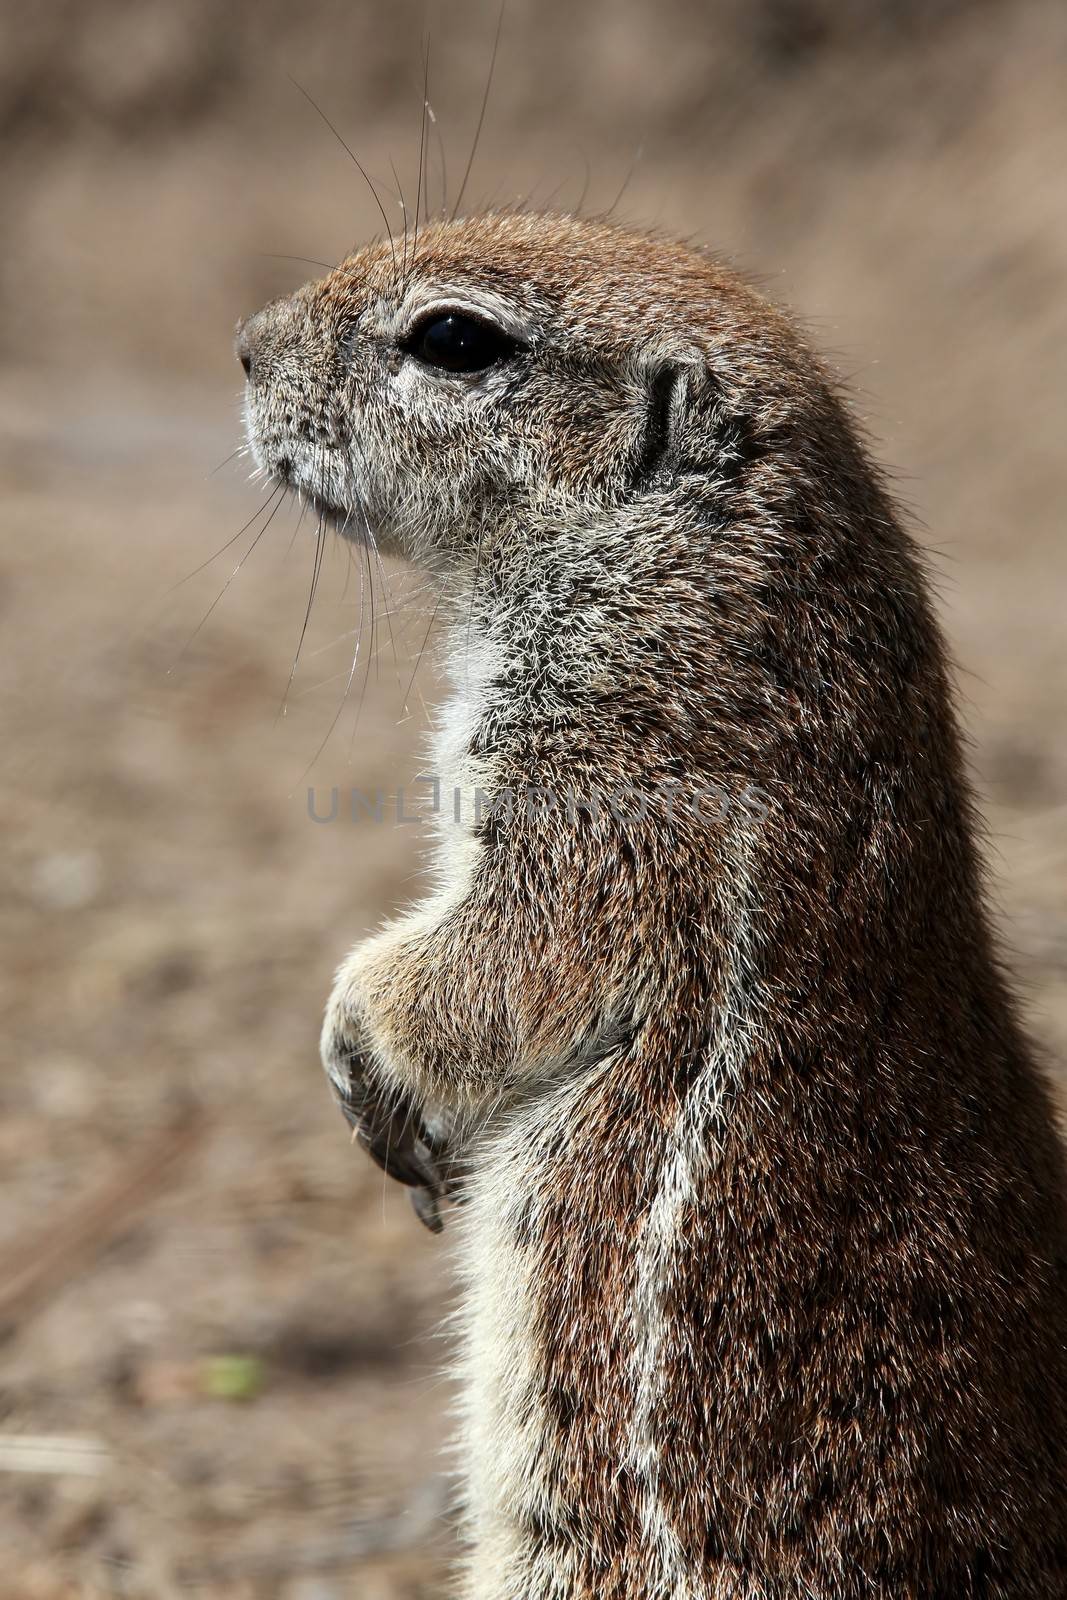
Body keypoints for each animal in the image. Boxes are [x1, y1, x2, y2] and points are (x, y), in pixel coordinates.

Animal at [238, 216, 1067, 1600]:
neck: (678, 575)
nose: (246, 348)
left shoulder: (610, 805)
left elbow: (489, 965)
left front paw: (360, 1058)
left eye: (452, 337)